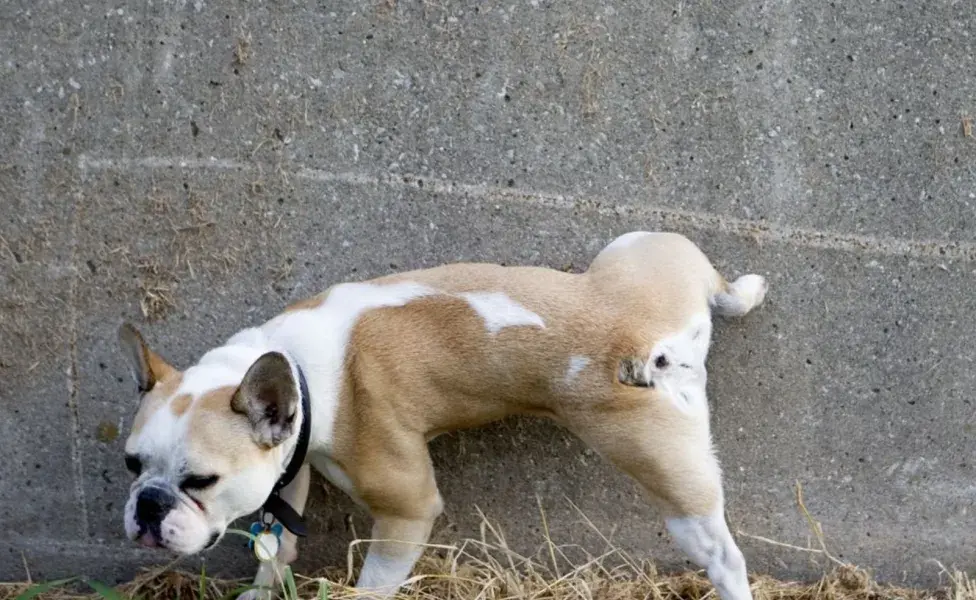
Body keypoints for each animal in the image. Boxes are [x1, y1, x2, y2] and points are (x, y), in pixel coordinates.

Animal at [118, 232, 768, 600]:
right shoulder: (288, 464)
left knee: (721, 553)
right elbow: (278, 544)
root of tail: (656, 337)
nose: (147, 506)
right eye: (131, 465)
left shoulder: (406, 509)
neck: (293, 367)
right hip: (642, 246)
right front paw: (262, 589)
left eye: (201, 481)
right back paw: (745, 290)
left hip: (665, 472)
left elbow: (374, 584)